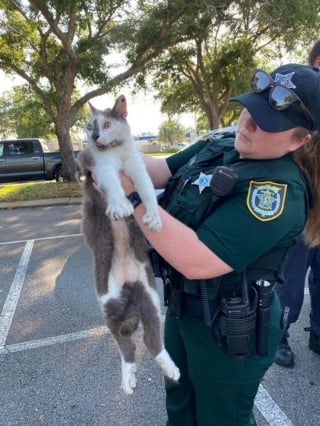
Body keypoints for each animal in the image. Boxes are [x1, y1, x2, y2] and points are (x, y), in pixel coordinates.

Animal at [76, 95, 179, 394]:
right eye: (90, 125)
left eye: (108, 124)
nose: (94, 135)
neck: (116, 152)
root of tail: (129, 288)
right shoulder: (95, 164)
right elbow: (112, 183)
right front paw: (120, 206)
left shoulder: (136, 166)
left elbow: (145, 189)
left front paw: (154, 217)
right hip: (109, 305)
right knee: (126, 345)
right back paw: (128, 378)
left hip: (151, 299)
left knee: (151, 340)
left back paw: (170, 368)